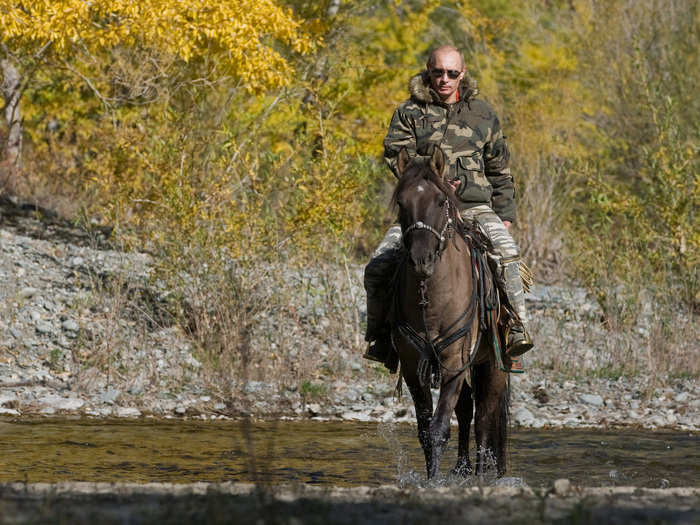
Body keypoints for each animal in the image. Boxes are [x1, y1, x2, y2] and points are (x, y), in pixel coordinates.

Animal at [388, 145, 508, 476]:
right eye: (401, 202)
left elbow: (440, 428)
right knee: (467, 410)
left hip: (493, 365)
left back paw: (480, 473)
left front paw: (433, 480)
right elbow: (425, 430)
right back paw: (462, 469)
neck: (431, 299)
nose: (421, 260)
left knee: (484, 416)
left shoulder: (456, 361)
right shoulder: (414, 366)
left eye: (441, 201)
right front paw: (432, 477)